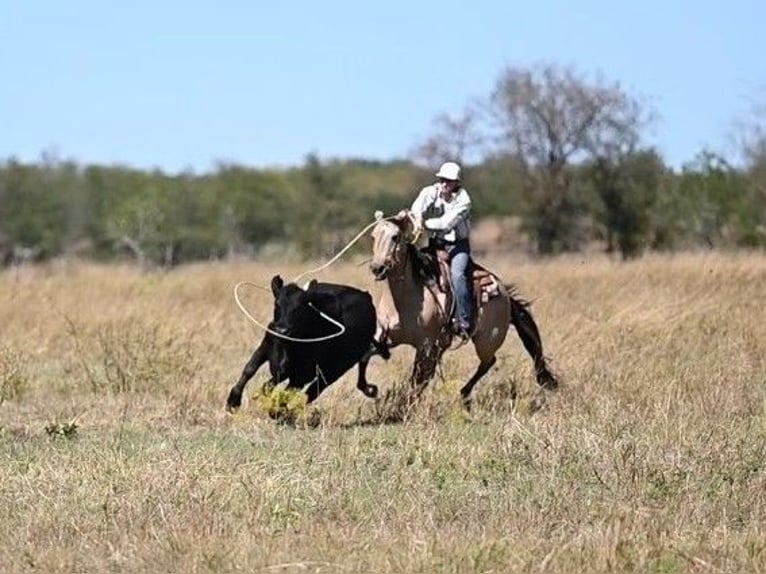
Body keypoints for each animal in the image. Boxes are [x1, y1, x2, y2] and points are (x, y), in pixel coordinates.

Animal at [370, 213, 560, 410]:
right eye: (373, 236)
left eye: (395, 237)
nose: (377, 268)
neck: (403, 300)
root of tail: (505, 295)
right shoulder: (385, 337)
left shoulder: (427, 345)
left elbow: (419, 378)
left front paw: (404, 406)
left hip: (488, 339)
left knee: (488, 362)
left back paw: (464, 393)